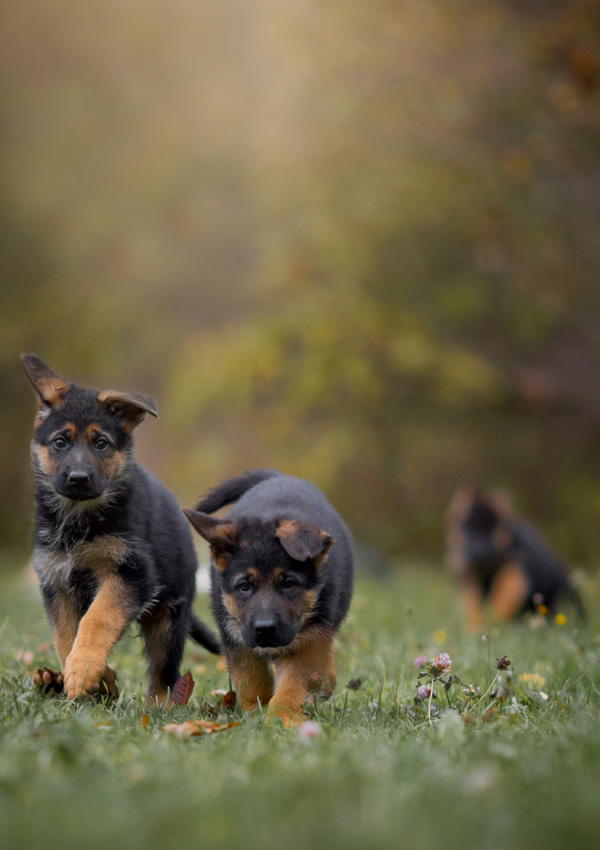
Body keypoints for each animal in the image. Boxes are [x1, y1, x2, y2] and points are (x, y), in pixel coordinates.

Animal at [185, 468, 354, 724]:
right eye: (244, 586)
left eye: (289, 584)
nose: (264, 629)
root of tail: (278, 477)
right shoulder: (236, 636)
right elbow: (251, 679)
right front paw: (255, 714)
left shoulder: (310, 638)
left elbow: (292, 684)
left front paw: (282, 718)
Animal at [446, 484, 580, 628]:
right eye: (467, 527)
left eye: (491, 530)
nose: (478, 552)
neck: (488, 566)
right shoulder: (469, 577)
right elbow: (473, 606)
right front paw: (475, 627)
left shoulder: (515, 574)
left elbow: (502, 599)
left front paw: (493, 622)